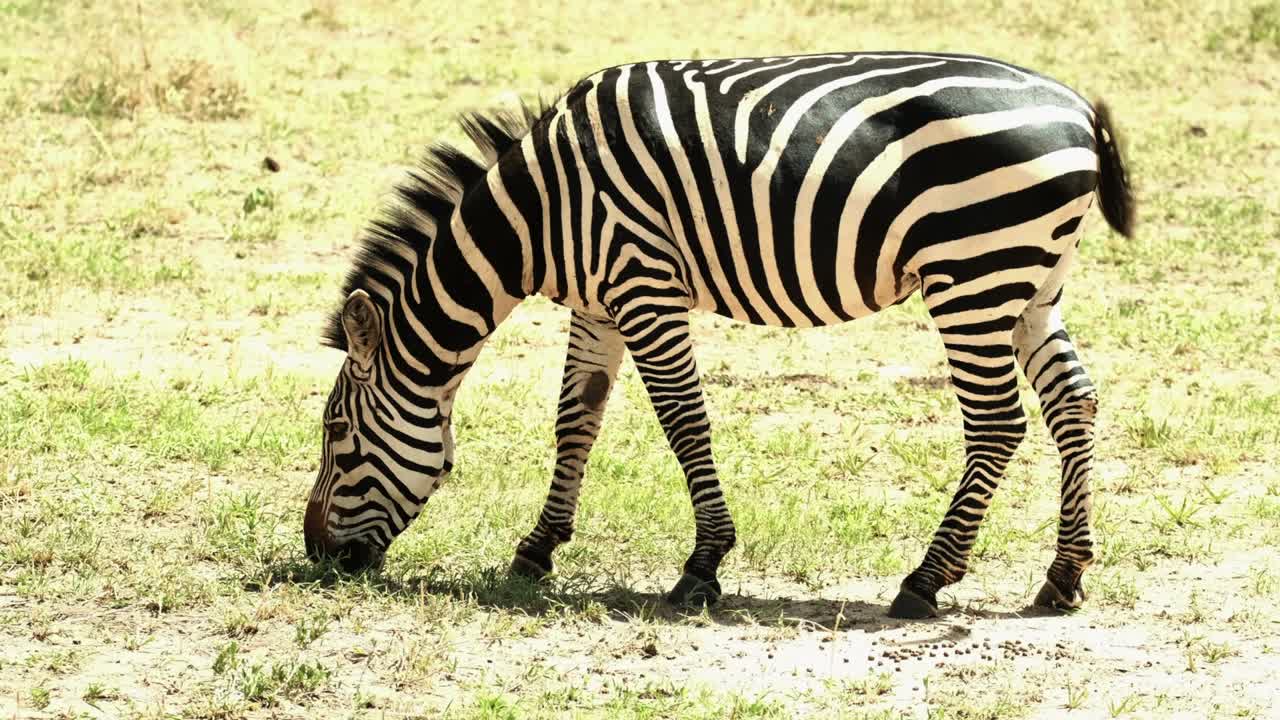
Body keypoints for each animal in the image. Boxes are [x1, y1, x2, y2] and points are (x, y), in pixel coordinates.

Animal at [303, 51, 1134, 619]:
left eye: (337, 435)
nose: (317, 557)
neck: (540, 211)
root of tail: (1075, 109)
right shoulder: (598, 303)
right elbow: (577, 420)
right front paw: (537, 549)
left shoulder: (643, 282)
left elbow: (683, 421)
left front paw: (702, 565)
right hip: (1030, 282)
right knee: (1074, 403)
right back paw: (1064, 575)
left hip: (973, 272)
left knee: (997, 424)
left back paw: (925, 581)